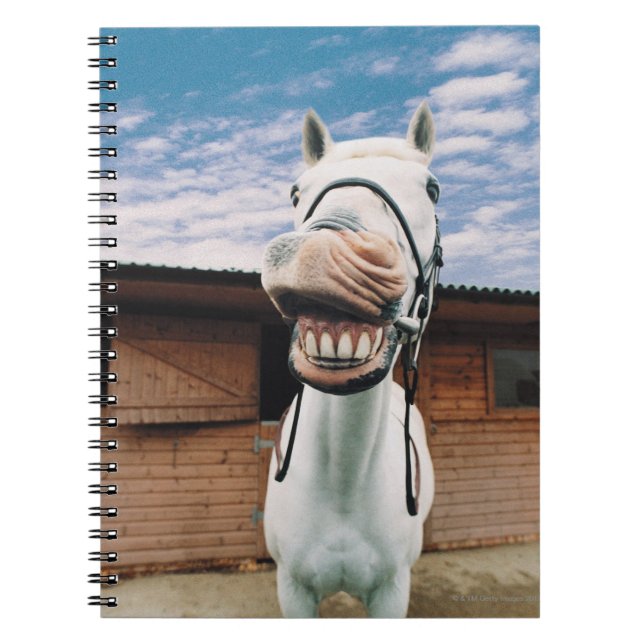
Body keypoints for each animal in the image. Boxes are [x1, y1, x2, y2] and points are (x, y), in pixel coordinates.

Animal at [261, 102, 442, 618]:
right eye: (296, 191)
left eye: (433, 189)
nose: (324, 255)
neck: (343, 478)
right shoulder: (292, 590)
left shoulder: (392, 592)